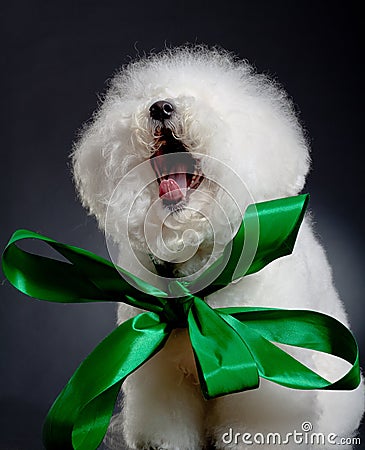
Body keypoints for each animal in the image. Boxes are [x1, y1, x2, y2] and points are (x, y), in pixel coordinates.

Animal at [71, 46, 362, 450]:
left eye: (206, 102)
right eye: (151, 95)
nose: (161, 107)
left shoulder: (262, 377)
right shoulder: (161, 376)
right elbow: (168, 426)